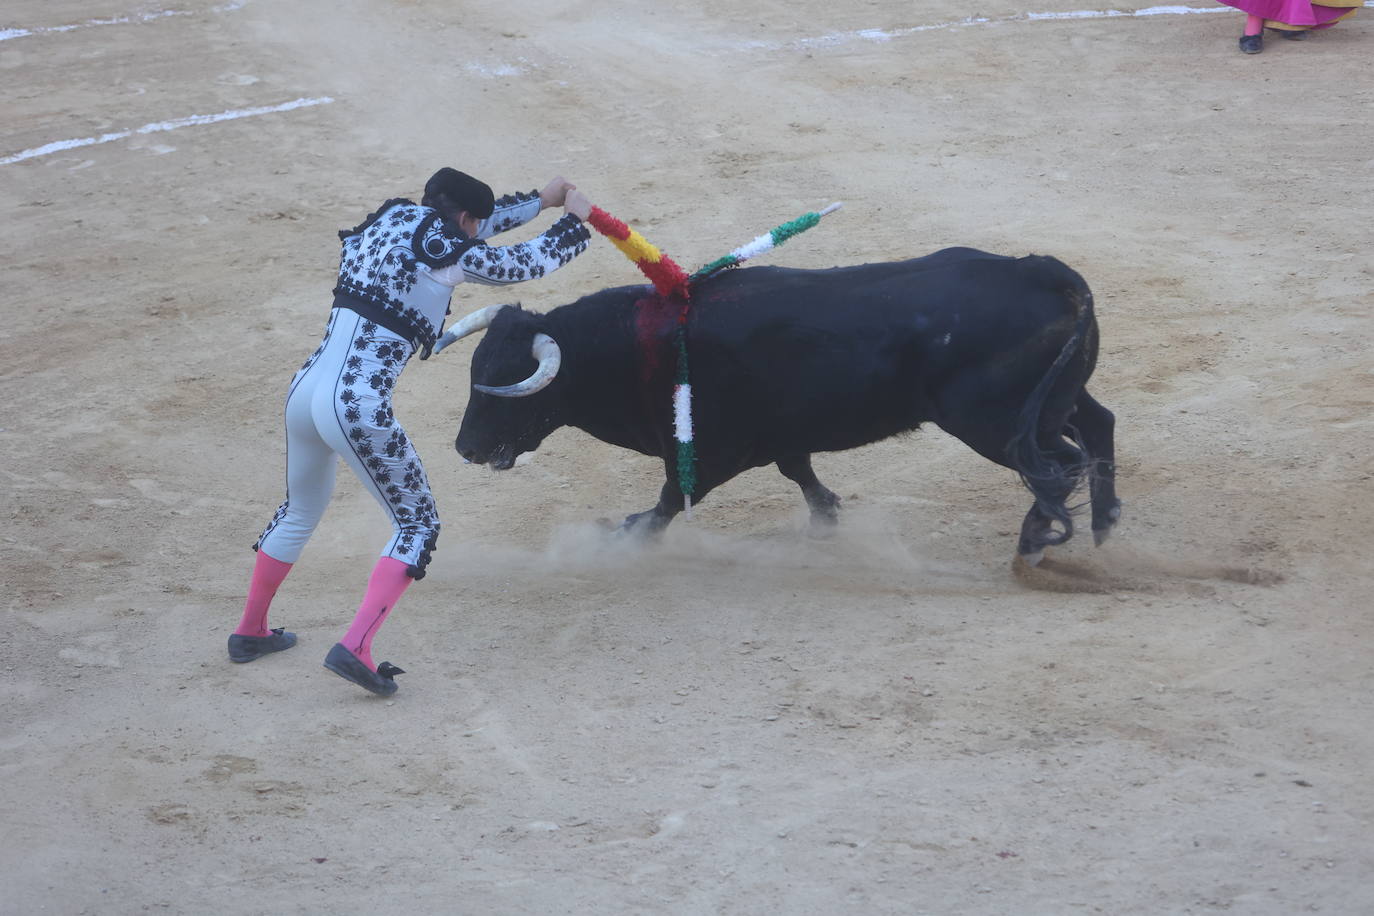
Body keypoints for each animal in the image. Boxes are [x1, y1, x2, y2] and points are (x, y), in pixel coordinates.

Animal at [434, 247, 1121, 563]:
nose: (465, 448)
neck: (638, 345)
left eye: (506, 382)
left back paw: (1034, 543)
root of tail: (1040, 269)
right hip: (1055, 400)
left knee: (1057, 467)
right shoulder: (778, 436)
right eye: (472, 373)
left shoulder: (707, 451)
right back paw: (1104, 523)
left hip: (992, 421)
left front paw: (625, 535)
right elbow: (800, 470)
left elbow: (668, 500)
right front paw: (827, 517)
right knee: (1097, 428)